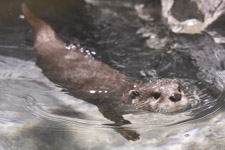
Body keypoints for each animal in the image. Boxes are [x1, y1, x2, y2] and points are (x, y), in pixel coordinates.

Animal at [21, 2, 188, 141]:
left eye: (179, 87)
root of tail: (50, 44)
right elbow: (113, 118)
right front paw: (128, 132)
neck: (125, 94)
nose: (176, 96)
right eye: (156, 94)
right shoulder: (109, 104)